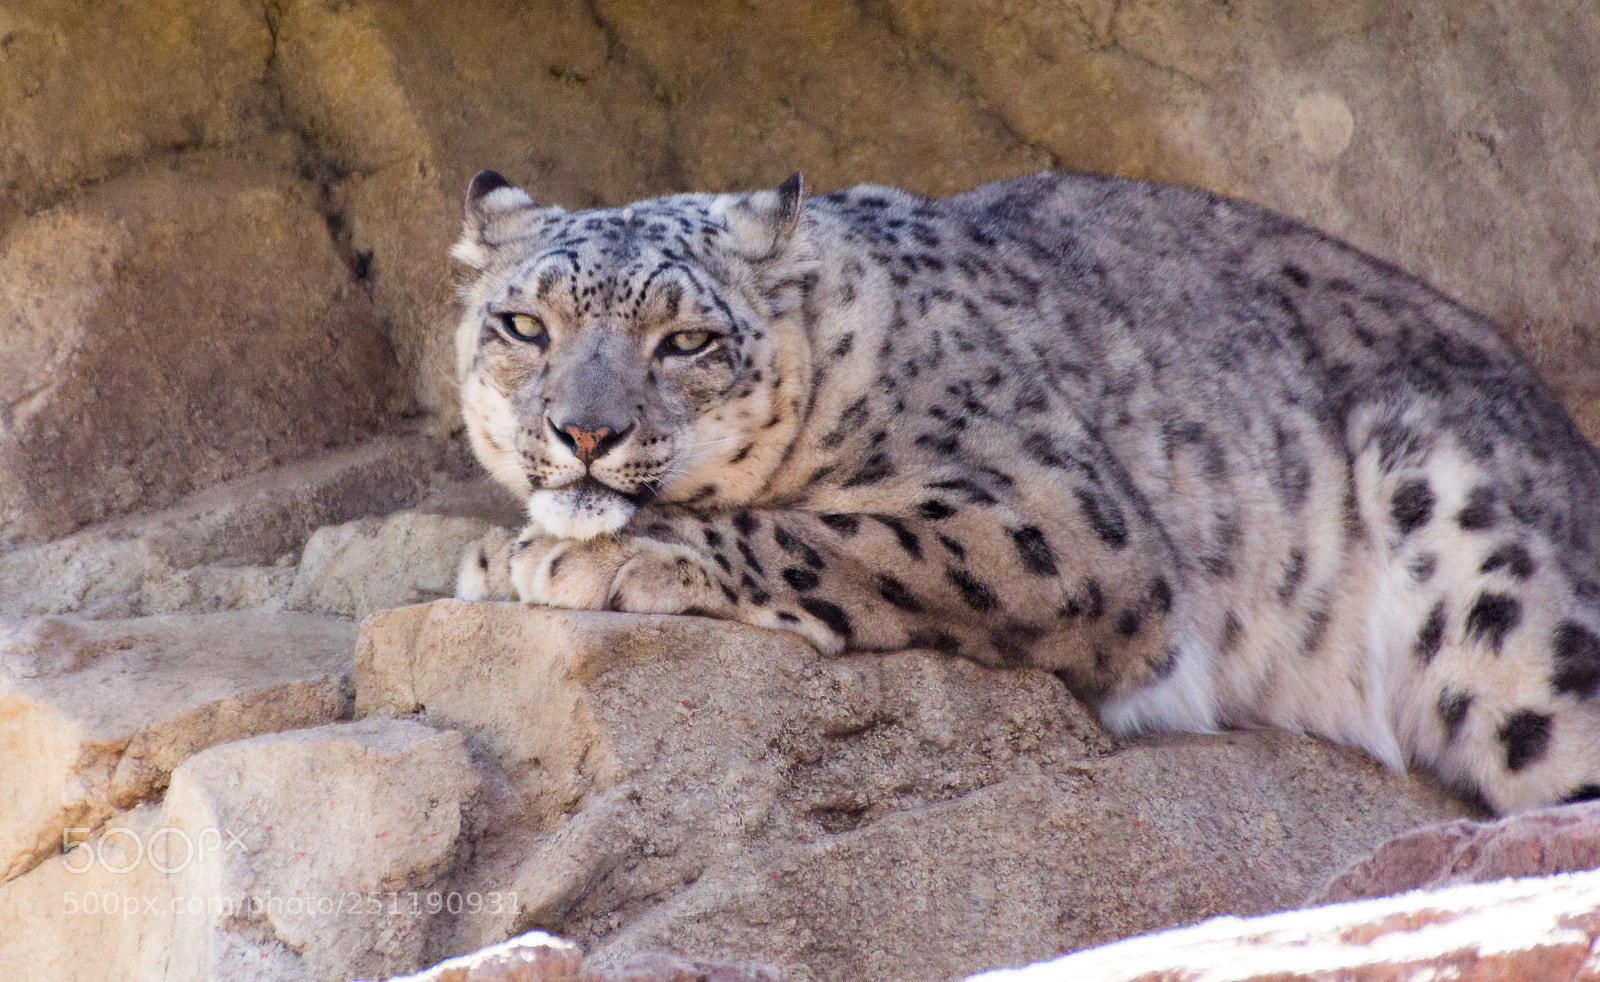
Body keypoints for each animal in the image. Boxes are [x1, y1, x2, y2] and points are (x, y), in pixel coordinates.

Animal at [450, 167, 1600, 815]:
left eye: (685, 339)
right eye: (524, 325)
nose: (585, 430)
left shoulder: (1051, 517)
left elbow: (833, 537)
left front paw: (582, 557)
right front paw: (496, 551)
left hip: (1485, 569)